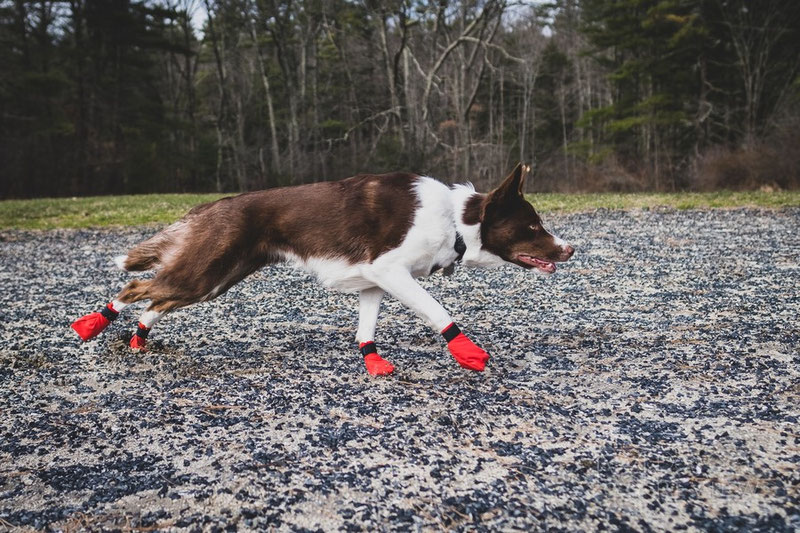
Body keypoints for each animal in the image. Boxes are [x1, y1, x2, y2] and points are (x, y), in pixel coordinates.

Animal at [72, 162, 576, 374]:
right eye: (533, 225)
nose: (570, 250)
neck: (455, 219)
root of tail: (209, 207)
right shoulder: (392, 271)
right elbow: (439, 312)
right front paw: (467, 352)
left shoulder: (375, 282)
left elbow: (366, 330)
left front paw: (372, 362)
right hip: (206, 271)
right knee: (137, 286)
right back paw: (94, 322)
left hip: (214, 279)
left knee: (156, 298)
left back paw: (138, 337)